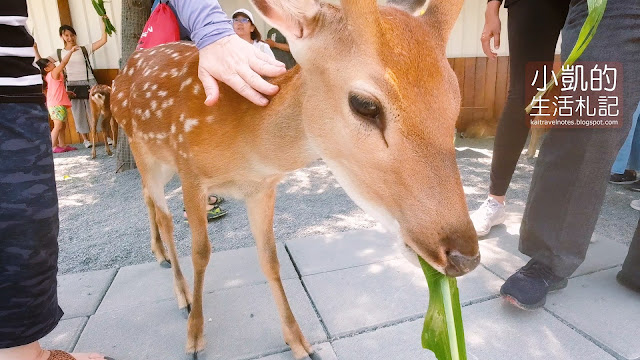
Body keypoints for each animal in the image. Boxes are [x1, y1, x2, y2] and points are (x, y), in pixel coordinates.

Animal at [111, 0, 480, 356]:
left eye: (456, 99)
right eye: (364, 104)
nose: (465, 258)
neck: (246, 146)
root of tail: (123, 71)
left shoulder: (262, 187)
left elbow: (270, 259)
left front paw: (299, 341)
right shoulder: (191, 171)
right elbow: (201, 253)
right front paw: (195, 335)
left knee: (147, 196)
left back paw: (159, 255)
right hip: (143, 147)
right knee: (164, 214)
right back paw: (182, 293)